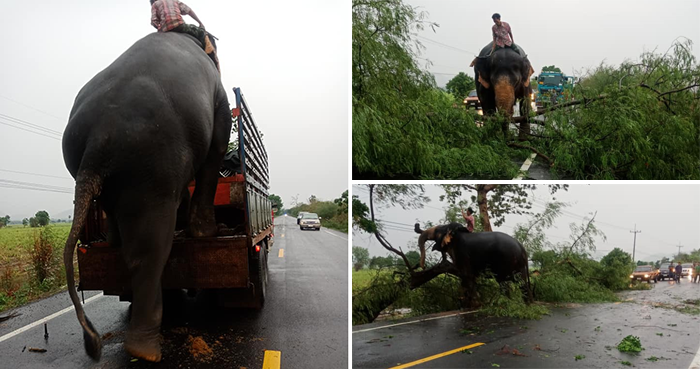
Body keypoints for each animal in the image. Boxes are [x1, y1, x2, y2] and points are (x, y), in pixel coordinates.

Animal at [60, 31, 230, 362]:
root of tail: (98, 138)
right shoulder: (218, 97)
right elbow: (216, 144)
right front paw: (209, 232)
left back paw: (112, 240)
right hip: (151, 168)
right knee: (148, 251)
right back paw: (146, 350)